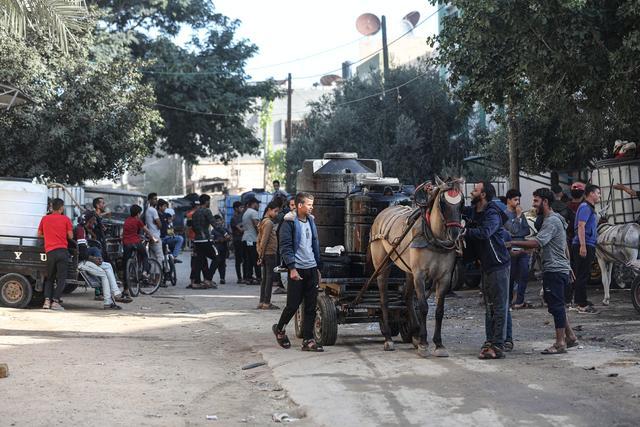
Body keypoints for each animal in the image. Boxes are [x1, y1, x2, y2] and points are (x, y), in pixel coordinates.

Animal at [368, 177, 462, 358]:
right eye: (443, 203)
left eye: (462, 202)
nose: (454, 234)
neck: (433, 237)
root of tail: (382, 213)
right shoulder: (420, 274)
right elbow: (424, 307)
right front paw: (424, 343)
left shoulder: (444, 277)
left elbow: (439, 310)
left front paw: (438, 344)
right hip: (383, 266)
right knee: (384, 299)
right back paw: (388, 338)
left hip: (408, 270)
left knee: (407, 296)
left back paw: (414, 332)